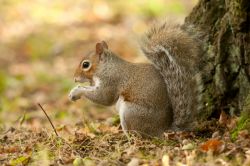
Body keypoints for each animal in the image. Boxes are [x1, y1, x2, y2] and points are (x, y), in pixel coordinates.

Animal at [69, 21, 205, 137]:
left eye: (85, 64)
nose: (75, 78)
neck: (107, 67)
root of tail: (163, 129)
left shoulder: (112, 81)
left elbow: (104, 98)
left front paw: (77, 91)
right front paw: (74, 91)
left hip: (131, 112)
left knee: (139, 134)